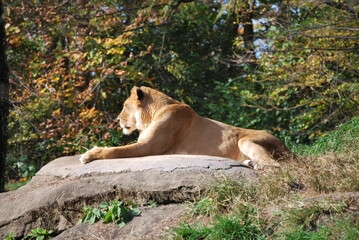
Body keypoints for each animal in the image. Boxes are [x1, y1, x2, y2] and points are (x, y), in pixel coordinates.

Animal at [80, 86, 294, 169]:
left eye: (124, 106)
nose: (117, 119)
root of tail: (290, 150)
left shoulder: (149, 147)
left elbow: (114, 150)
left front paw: (89, 154)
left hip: (245, 140)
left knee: (278, 166)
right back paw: (249, 163)